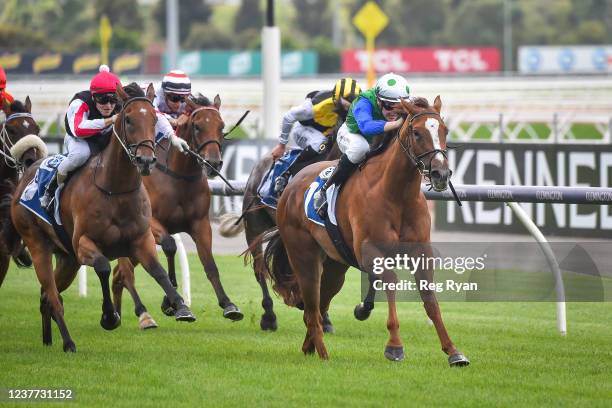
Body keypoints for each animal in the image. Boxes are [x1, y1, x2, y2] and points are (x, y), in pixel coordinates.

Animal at [8, 83, 194, 350]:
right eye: (128, 119)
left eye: (154, 118)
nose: (146, 160)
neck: (115, 189)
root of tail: (27, 173)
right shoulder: (83, 244)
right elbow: (104, 267)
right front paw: (109, 316)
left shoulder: (141, 240)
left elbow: (157, 271)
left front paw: (180, 306)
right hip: (38, 246)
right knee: (53, 296)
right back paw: (68, 343)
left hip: (67, 259)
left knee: (46, 296)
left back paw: (48, 340)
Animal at [112, 94, 241, 326]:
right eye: (197, 126)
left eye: (221, 126)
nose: (213, 162)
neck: (179, 177)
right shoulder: (151, 224)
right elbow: (170, 246)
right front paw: (172, 302)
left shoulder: (201, 224)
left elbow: (210, 264)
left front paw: (228, 304)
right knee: (125, 272)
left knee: (118, 275)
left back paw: (115, 315)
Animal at [262, 97, 468, 364]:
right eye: (416, 132)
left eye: (444, 130)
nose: (440, 174)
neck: (397, 195)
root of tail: (291, 185)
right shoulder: (370, 252)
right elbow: (390, 281)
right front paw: (394, 346)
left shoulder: (421, 253)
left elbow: (429, 298)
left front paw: (453, 351)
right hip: (304, 257)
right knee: (312, 310)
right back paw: (323, 354)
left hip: (334, 268)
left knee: (318, 307)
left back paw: (310, 348)